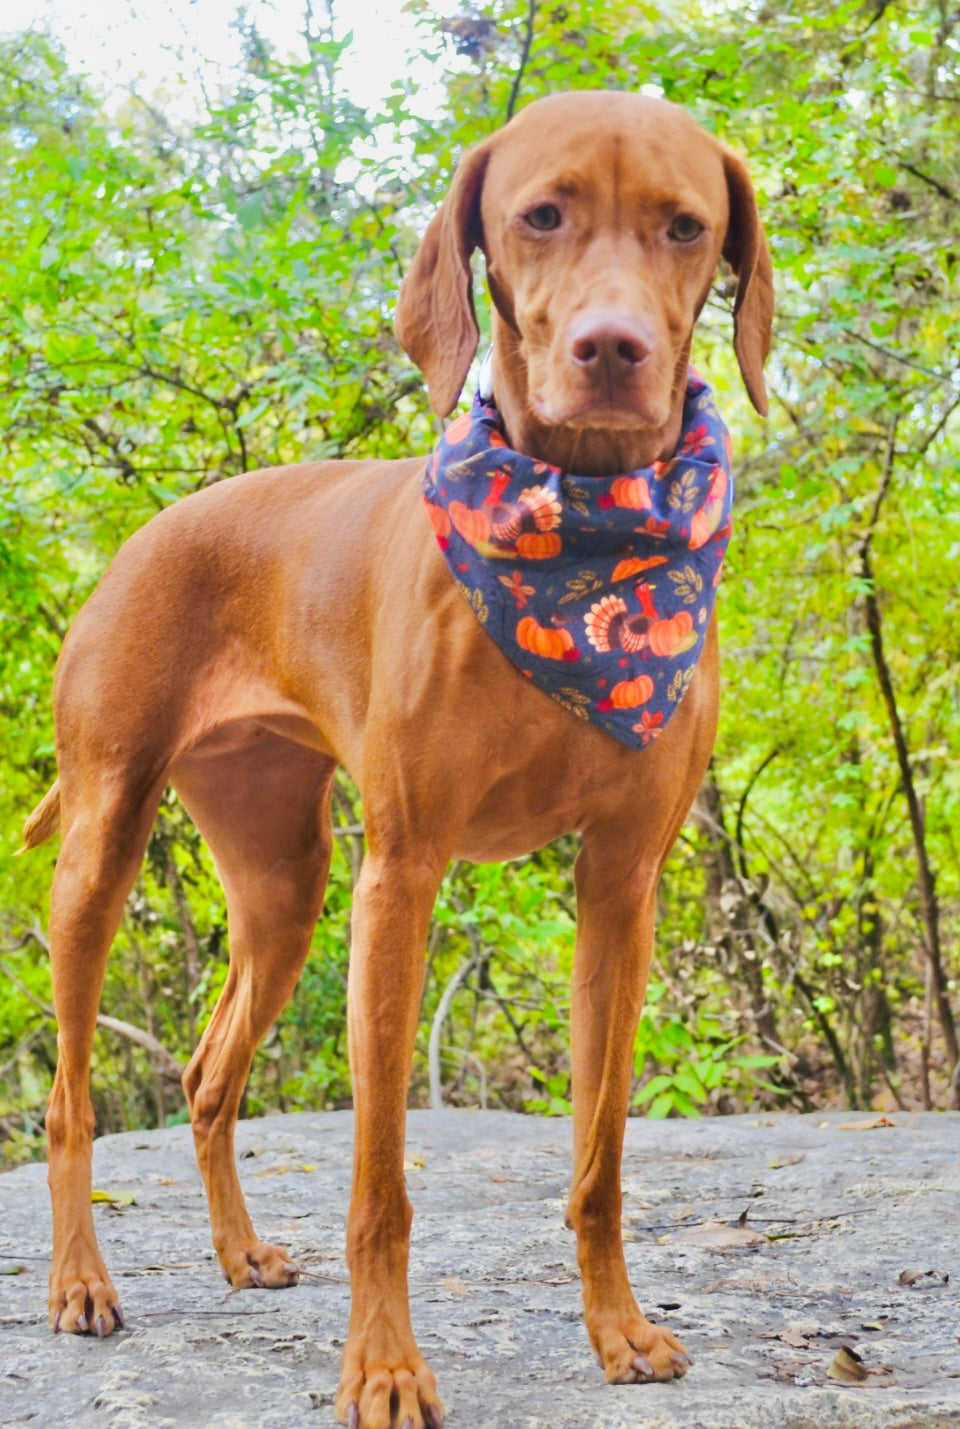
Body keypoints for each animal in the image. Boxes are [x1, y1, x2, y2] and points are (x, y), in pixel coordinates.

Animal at [22, 92, 771, 1429]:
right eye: (541, 215)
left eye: (687, 225)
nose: (614, 347)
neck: (582, 532)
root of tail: (150, 533)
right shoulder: (402, 881)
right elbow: (380, 1184)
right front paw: (381, 1369)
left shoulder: (620, 888)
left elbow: (600, 1156)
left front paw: (619, 1330)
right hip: (105, 846)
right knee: (68, 1096)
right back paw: (81, 1283)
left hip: (284, 884)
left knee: (209, 1075)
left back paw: (239, 1252)